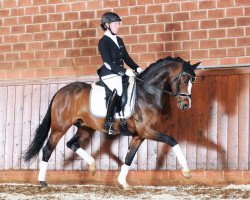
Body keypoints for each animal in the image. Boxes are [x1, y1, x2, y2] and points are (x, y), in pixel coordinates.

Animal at [24, 55, 200, 189]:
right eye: (184, 80)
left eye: (193, 81)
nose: (186, 105)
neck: (147, 93)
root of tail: (61, 91)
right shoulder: (146, 131)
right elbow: (172, 140)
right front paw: (187, 172)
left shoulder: (139, 135)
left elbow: (129, 157)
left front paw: (123, 183)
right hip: (60, 127)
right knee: (48, 149)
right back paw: (42, 182)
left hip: (86, 127)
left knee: (72, 144)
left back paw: (92, 166)